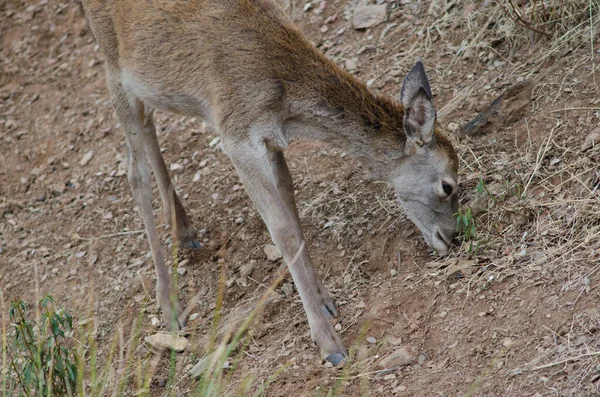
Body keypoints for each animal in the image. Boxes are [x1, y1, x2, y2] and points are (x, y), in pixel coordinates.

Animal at [76, 0, 460, 366]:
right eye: (448, 185)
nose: (452, 236)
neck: (285, 98)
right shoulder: (236, 137)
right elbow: (282, 230)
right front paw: (329, 344)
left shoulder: (272, 140)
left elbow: (291, 208)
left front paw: (325, 299)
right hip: (113, 67)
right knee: (134, 172)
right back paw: (170, 306)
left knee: (150, 132)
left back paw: (185, 232)